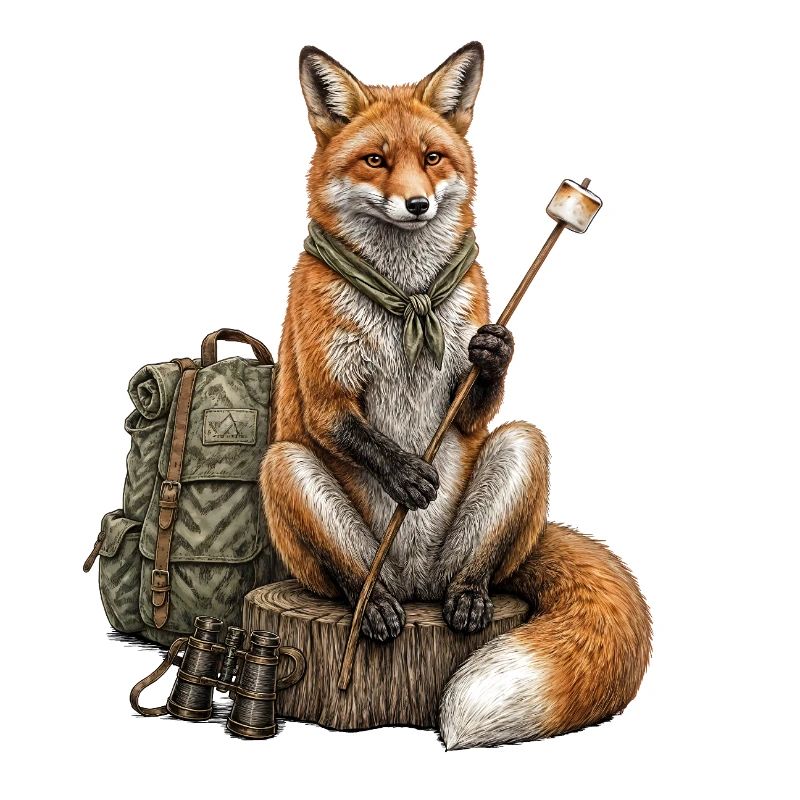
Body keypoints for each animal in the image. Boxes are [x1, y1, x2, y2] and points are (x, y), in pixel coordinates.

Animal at [260, 41, 651, 749]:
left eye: (433, 158)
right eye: (376, 160)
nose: (416, 204)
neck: (407, 297)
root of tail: (419, 586)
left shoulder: (468, 387)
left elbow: (475, 405)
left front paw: (494, 352)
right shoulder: (325, 394)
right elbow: (352, 431)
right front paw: (405, 474)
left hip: (519, 458)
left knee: (480, 557)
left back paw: (468, 598)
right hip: (288, 472)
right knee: (353, 576)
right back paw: (374, 608)